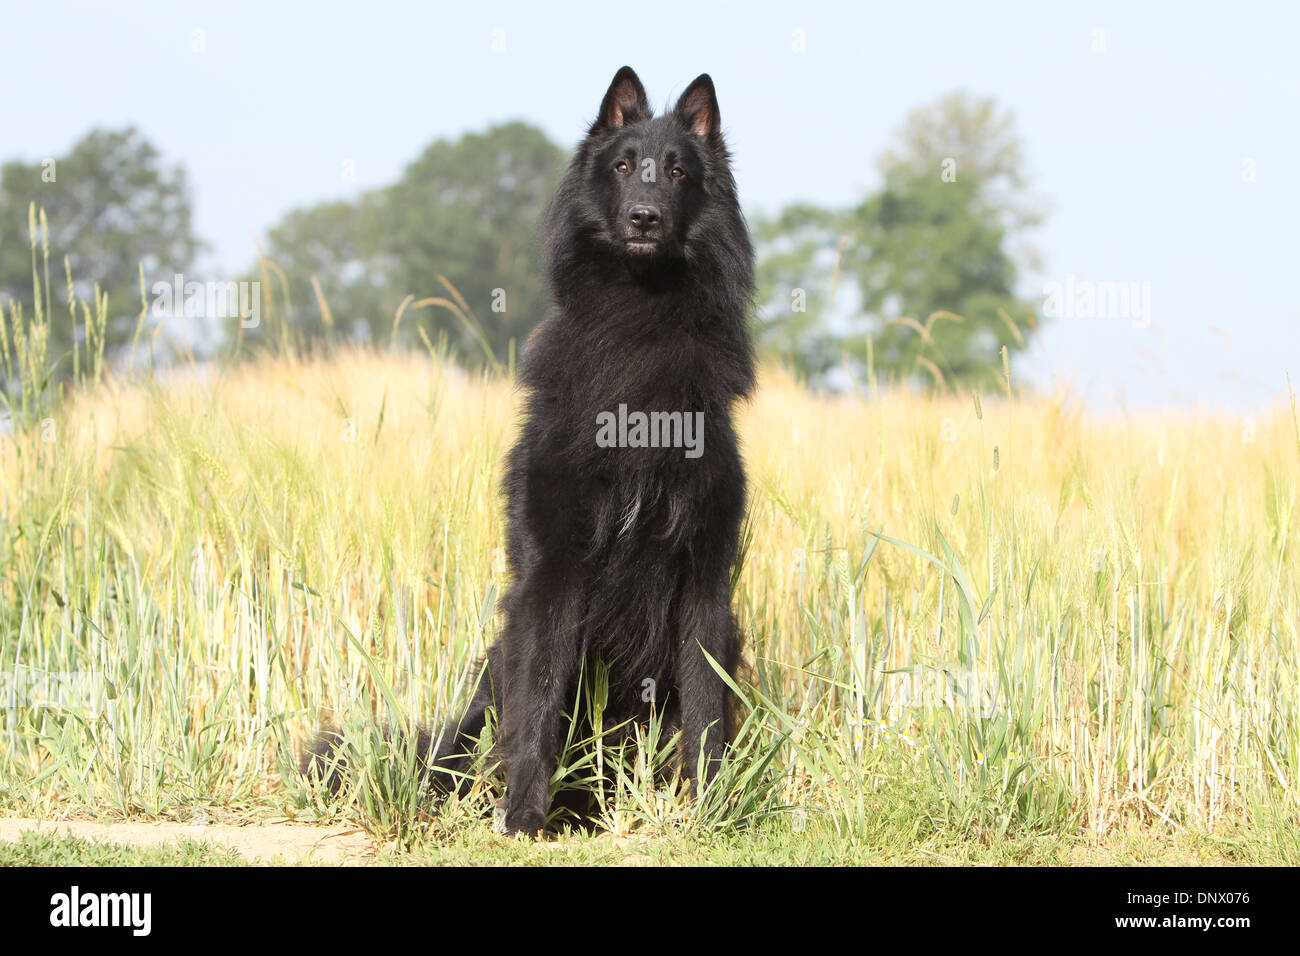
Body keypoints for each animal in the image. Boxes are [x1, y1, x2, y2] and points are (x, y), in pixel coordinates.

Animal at [306, 65, 754, 837]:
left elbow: (705, 710)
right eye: (624, 166)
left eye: (678, 172)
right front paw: (522, 816)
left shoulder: (704, 577)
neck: (638, 325)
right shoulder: (551, 574)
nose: (645, 217)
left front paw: (712, 812)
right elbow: (538, 705)